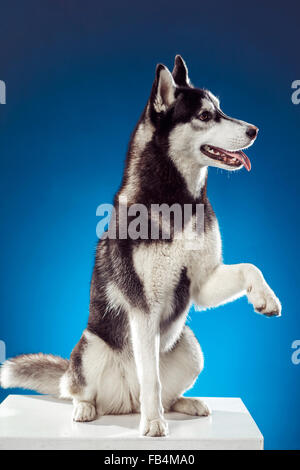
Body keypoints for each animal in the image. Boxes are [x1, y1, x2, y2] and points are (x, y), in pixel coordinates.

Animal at [1, 57, 280, 436]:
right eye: (205, 115)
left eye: (220, 109)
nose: (255, 130)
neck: (177, 200)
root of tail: (126, 402)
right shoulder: (144, 307)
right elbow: (151, 376)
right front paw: (153, 425)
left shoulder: (202, 282)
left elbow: (251, 267)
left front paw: (266, 298)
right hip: (90, 346)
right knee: (75, 388)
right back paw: (90, 409)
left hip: (190, 345)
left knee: (168, 394)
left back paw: (183, 404)